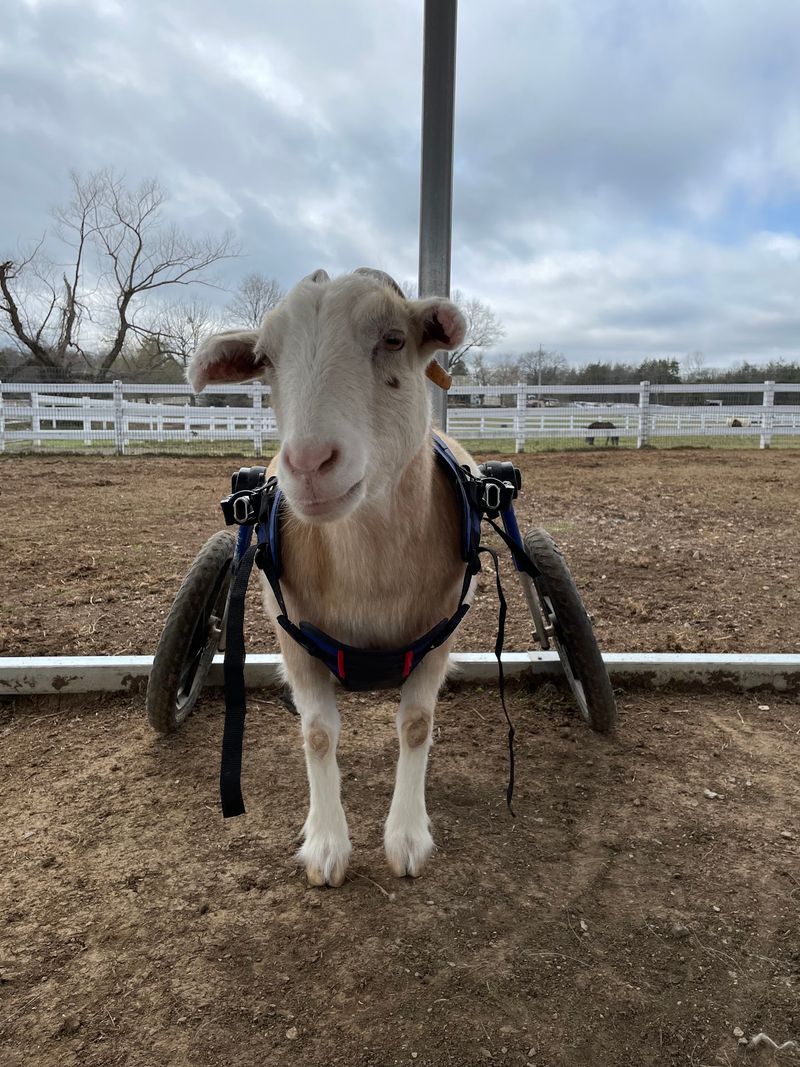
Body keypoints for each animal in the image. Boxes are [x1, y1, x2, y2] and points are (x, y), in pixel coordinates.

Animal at [189, 269, 472, 886]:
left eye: (393, 338)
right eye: (265, 359)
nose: (310, 465)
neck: (371, 579)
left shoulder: (440, 631)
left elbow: (416, 725)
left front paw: (406, 839)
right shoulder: (291, 633)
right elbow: (318, 733)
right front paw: (325, 846)